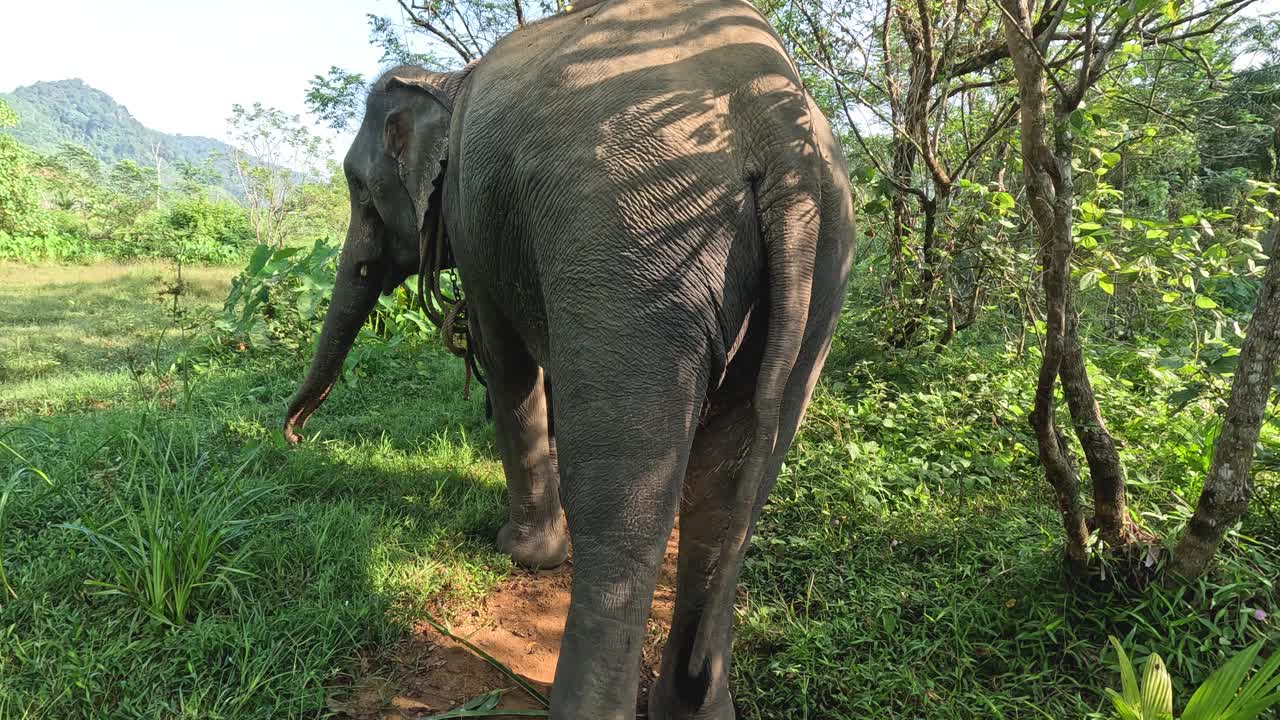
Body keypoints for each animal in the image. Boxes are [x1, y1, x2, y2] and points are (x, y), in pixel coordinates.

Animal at [284, 2, 855, 712]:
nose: (294, 435)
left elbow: (506, 363)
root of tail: (775, 126)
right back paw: (695, 705)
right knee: (730, 497)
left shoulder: (477, 219)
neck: (449, 82)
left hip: (632, 238)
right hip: (824, 260)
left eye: (360, 189)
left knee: (623, 505)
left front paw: (522, 554)